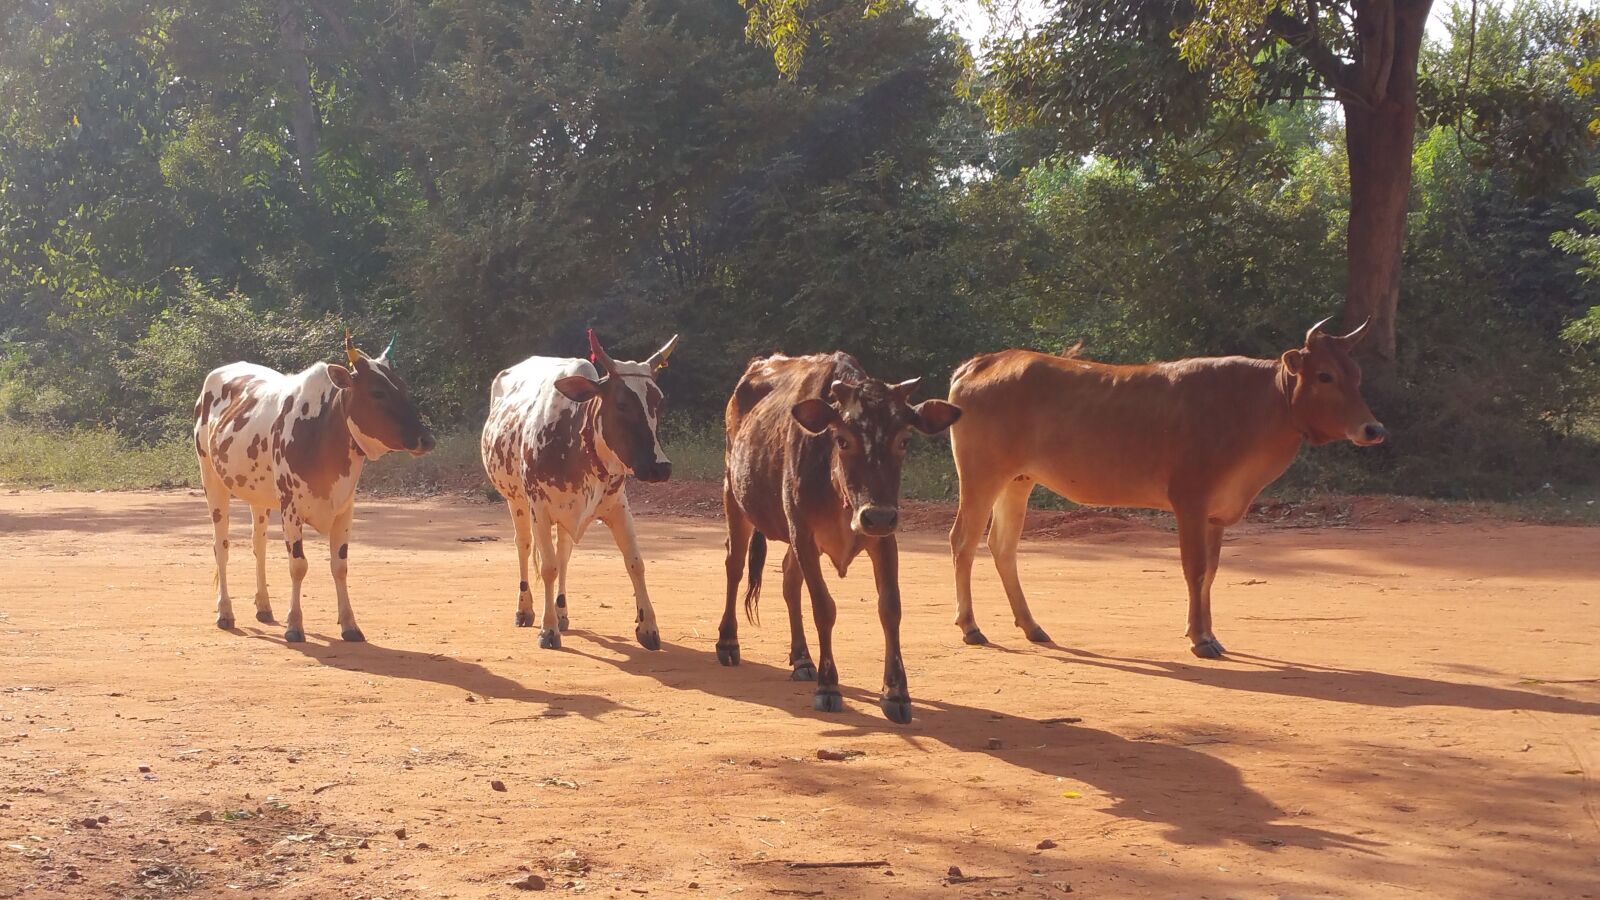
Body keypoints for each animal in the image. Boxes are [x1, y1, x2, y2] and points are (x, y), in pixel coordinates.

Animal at [194, 334, 435, 643]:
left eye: (404, 388)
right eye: (377, 392)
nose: (426, 439)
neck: (320, 431)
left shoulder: (344, 510)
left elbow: (339, 567)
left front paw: (349, 624)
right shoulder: (291, 510)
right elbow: (298, 566)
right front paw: (294, 625)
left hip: (258, 497)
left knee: (258, 546)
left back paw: (264, 606)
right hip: (212, 482)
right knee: (221, 547)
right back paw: (225, 612)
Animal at [481, 330, 677, 651]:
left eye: (658, 402)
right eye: (621, 403)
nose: (659, 467)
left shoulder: (617, 505)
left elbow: (635, 562)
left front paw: (648, 626)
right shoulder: (539, 508)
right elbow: (547, 567)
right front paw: (548, 629)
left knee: (563, 554)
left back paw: (561, 611)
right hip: (516, 501)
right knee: (524, 547)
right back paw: (525, 609)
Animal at [717, 353, 962, 724]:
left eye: (904, 440)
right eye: (843, 439)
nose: (876, 515)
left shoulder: (884, 537)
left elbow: (890, 607)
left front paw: (896, 692)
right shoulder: (803, 532)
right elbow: (823, 607)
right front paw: (829, 685)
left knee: (789, 580)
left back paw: (802, 658)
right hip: (735, 495)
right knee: (735, 565)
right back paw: (728, 642)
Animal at [946, 319, 1386, 658]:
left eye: (1357, 376)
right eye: (1325, 375)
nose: (1373, 429)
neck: (1258, 403)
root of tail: (981, 363)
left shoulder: (1217, 512)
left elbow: (1212, 571)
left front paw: (1209, 633)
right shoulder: (1189, 499)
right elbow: (1195, 568)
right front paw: (1200, 639)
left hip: (1017, 481)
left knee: (1002, 545)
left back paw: (1032, 626)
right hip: (981, 474)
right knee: (963, 540)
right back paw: (971, 627)